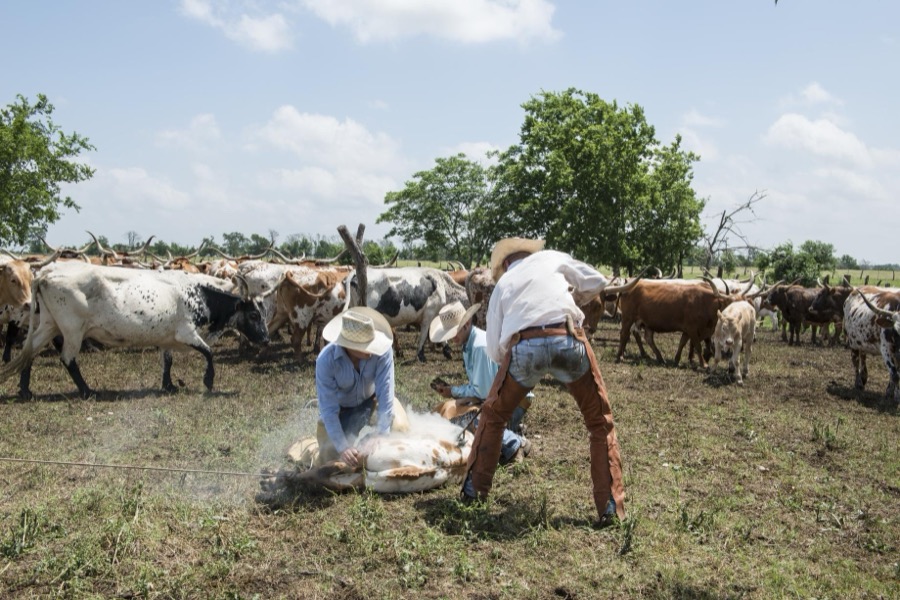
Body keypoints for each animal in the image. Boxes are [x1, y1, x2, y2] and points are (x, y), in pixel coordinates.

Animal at [0, 262, 272, 399]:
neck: (200, 293)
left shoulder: (166, 337)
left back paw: (25, 390)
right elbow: (208, 353)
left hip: (48, 324)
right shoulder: (186, 333)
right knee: (68, 359)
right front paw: (209, 381)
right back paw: (87, 391)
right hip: (72, 330)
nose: (266, 339)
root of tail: (47, 272)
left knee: (30, 352)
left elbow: (167, 361)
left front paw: (169, 386)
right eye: (254, 314)